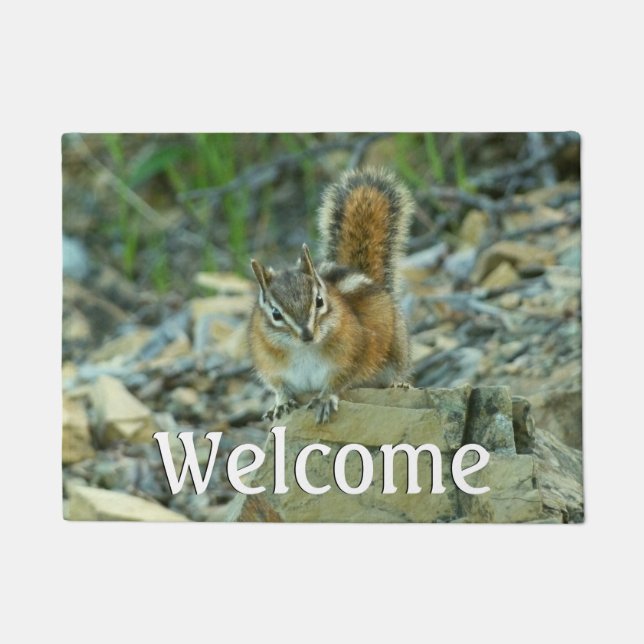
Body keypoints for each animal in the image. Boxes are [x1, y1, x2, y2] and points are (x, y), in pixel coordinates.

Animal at [249, 167, 416, 423]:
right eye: (275, 313)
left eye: (319, 301)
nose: (307, 335)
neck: (303, 351)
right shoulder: (271, 367)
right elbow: (279, 387)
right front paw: (281, 403)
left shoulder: (351, 356)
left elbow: (338, 381)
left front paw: (325, 399)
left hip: (397, 350)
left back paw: (398, 385)